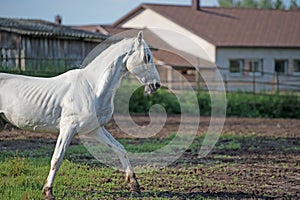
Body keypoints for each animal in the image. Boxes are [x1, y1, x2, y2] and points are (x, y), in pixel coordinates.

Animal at [0, 31, 161, 198]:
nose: (156, 85)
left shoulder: (94, 129)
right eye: (147, 57)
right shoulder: (68, 128)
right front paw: (48, 192)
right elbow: (57, 158)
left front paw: (134, 185)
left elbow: (120, 148)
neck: (93, 88)